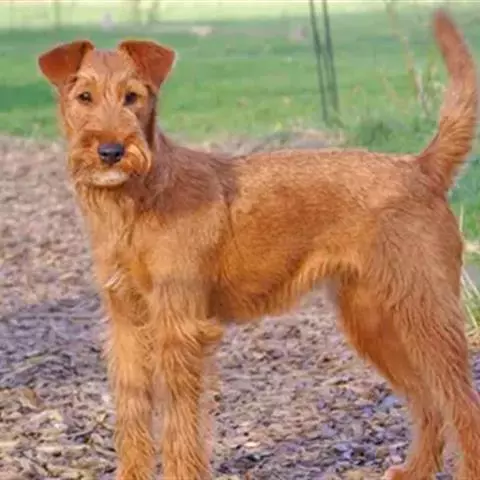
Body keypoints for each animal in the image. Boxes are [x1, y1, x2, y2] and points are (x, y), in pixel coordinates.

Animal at [38, 9, 480, 480]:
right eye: (84, 96)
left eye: (132, 97)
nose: (110, 150)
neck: (139, 200)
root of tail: (420, 168)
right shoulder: (126, 323)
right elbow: (131, 413)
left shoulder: (179, 325)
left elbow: (179, 425)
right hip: (373, 318)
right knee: (427, 400)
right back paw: (414, 469)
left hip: (425, 309)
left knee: (462, 404)